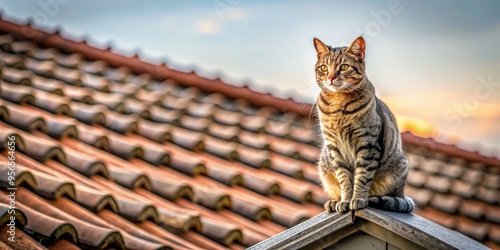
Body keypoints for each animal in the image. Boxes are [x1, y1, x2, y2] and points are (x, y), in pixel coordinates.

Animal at [316, 36, 414, 213]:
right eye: (324, 68)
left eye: (344, 67)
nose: (331, 78)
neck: (339, 105)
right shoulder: (334, 147)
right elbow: (344, 179)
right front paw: (345, 201)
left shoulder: (368, 144)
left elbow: (362, 177)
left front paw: (358, 199)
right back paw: (334, 202)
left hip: (398, 167)